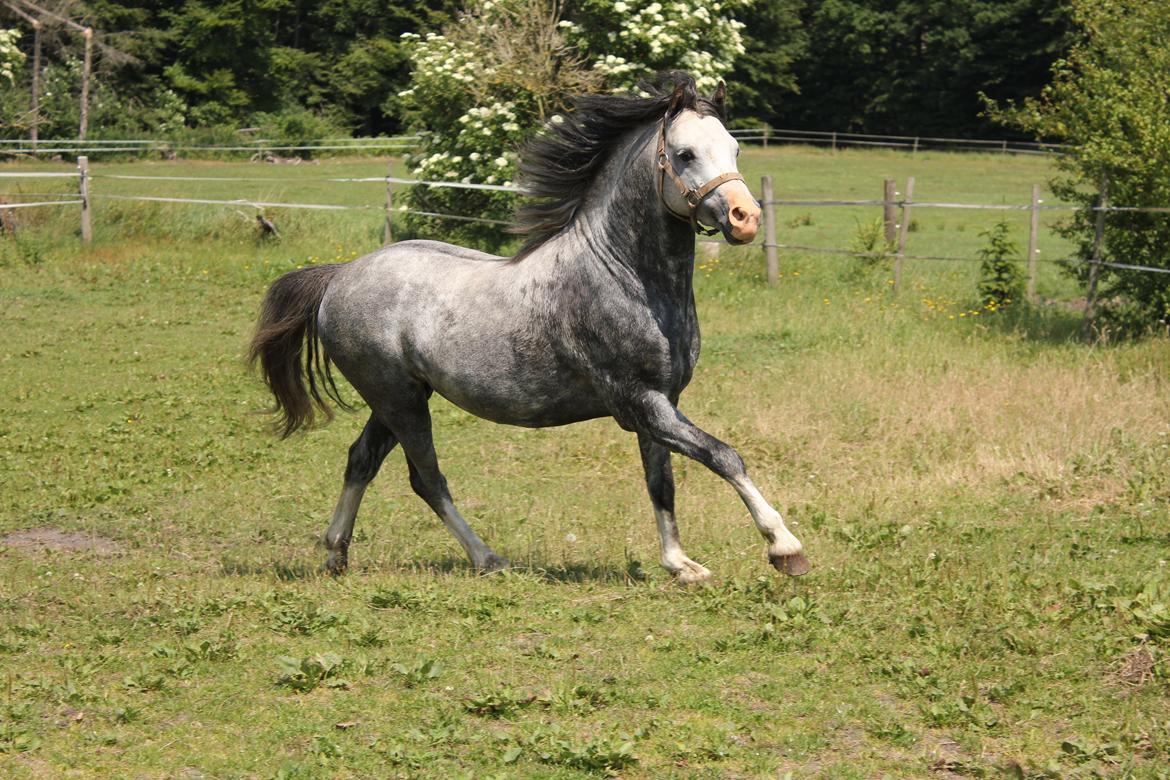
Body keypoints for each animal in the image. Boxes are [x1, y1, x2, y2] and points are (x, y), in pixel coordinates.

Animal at [249, 73, 809, 583]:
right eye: (686, 153)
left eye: (735, 147)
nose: (745, 218)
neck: (621, 275)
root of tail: (340, 275)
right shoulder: (639, 402)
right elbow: (724, 456)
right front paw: (785, 548)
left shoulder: (661, 402)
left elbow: (661, 481)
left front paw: (680, 564)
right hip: (398, 399)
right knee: (426, 478)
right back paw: (487, 559)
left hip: (398, 398)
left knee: (361, 460)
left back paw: (335, 556)